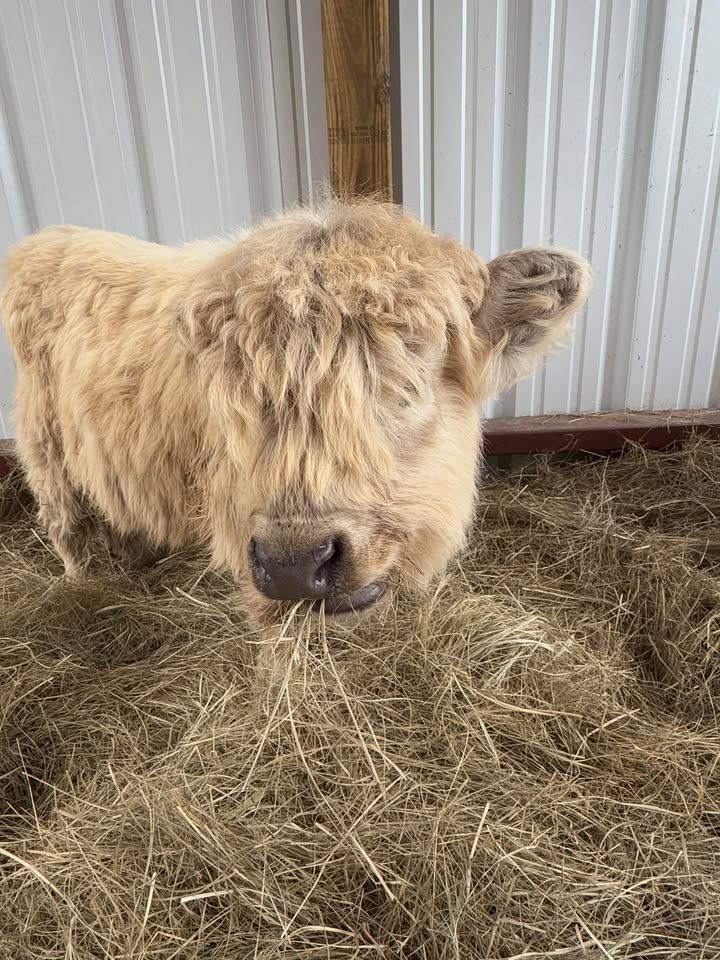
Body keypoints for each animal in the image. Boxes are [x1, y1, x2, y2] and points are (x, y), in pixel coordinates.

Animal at [1, 198, 590, 624]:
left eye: (406, 387)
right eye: (231, 402)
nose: (294, 565)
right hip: (44, 449)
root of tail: (46, 238)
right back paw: (86, 585)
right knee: (65, 524)